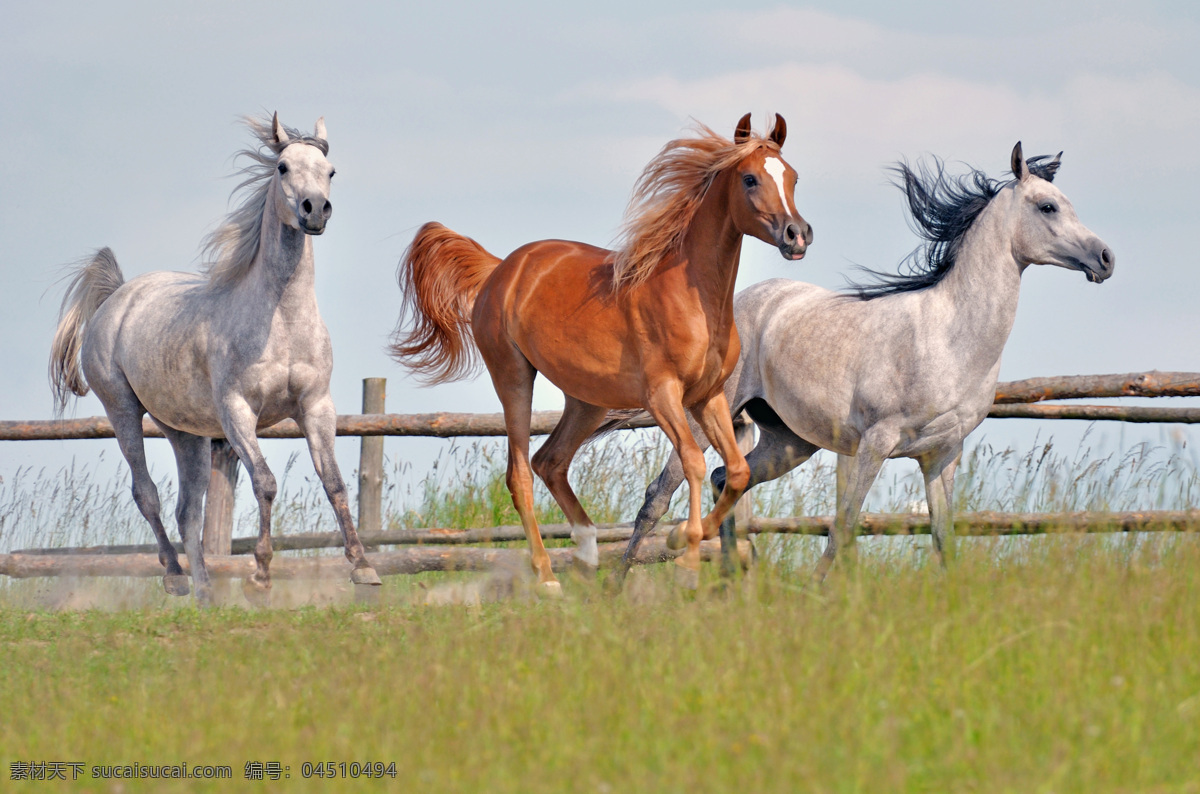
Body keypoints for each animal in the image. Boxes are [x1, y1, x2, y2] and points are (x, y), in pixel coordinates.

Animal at [50, 115, 379, 606]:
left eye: (331, 170)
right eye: (282, 166)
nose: (315, 210)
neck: (280, 319)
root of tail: (118, 298)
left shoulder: (316, 406)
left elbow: (334, 482)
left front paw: (364, 568)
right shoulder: (236, 410)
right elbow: (265, 482)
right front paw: (260, 577)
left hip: (185, 432)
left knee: (188, 510)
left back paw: (206, 593)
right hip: (123, 410)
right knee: (146, 493)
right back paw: (175, 577)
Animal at [388, 115, 811, 594]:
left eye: (793, 177)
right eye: (750, 178)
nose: (798, 235)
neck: (691, 296)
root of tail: (500, 269)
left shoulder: (709, 395)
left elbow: (737, 471)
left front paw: (679, 538)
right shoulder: (663, 395)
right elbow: (694, 462)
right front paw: (685, 559)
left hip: (587, 400)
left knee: (550, 461)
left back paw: (588, 555)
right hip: (513, 376)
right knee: (520, 473)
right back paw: (548, 578)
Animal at [619, 143, 1113, 582]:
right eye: (1048, 207)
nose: (1105, 258)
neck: (949, 338)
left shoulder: (942, 455)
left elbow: (943, 538)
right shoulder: (875, 443)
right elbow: (843, 528)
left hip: (790, 442)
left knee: (727, 478)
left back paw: (734, 584)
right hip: (703, 418)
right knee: (659, 496)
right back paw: (618, 588)